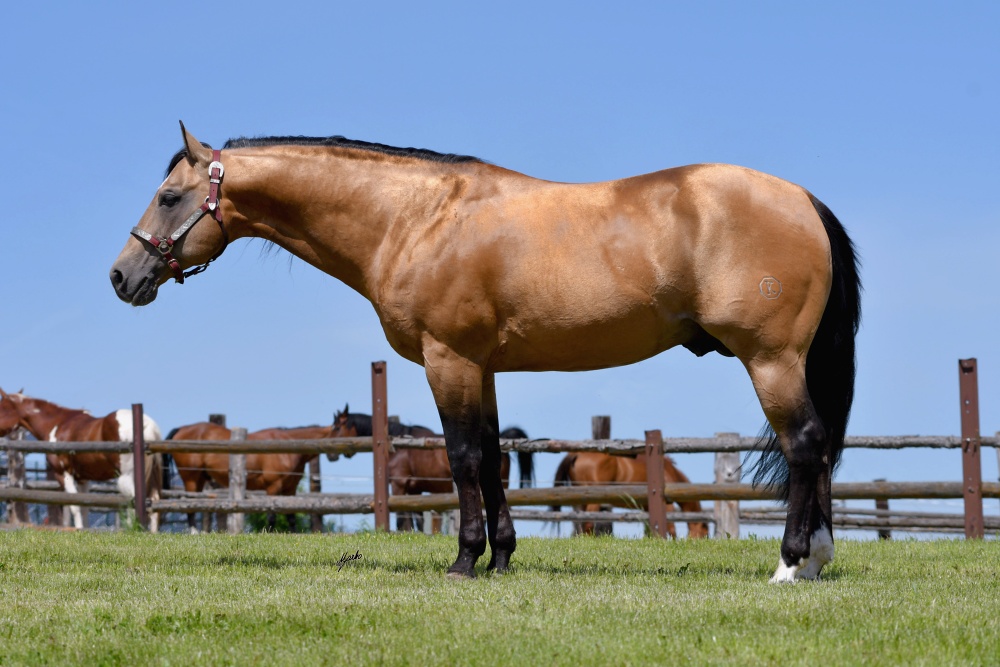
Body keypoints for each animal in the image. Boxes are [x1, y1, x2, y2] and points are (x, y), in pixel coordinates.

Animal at [0, 388, 162, 528]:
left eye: (1, 408)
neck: (57, 425)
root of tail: (146, 424)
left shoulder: (64, 474)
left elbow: (74, 506)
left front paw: (78, 528)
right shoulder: (83, 479)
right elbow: (84, 506)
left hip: (127, 477)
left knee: (135, 502)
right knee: (154, 503)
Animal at [166, 422, 334, 532]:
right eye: (339, 428)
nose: (334, 456)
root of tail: (181, 429)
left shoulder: (290, 488)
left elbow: (291, 514)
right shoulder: (273, 486)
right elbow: (272, 514)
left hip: (200, 478)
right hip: (191, 478)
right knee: (189, 503)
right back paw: (194, 532)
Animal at [556, 452, 712, 540]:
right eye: (704, 533)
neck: (669, 472)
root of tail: (576, 454)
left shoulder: (648, 508)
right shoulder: (667, 505)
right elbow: (671, 528)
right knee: (588, 522)